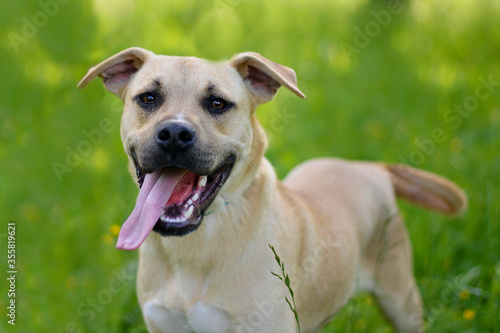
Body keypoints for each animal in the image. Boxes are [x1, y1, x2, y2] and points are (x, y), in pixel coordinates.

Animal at [77, 47, 464, 332]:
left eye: (217, 103)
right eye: (148, 98)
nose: (174, 133)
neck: (197, 245)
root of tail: (369, 167)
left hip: (401, 299)